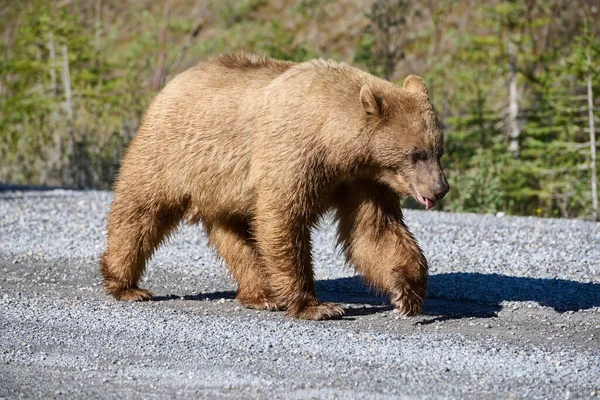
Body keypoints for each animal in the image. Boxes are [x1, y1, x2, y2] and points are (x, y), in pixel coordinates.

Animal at [98, 54, 448, 322]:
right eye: (416, 153)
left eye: (438, 150)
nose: (440, 188)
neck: (336, 143)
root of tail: (171, 83)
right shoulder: (294, 153)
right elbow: (284, 219)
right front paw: (317, 306)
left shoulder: (362, 179)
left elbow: (375, 231)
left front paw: (407, 295)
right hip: (170, 153)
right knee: (140, 210)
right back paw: (126, 285)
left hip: (224, 187)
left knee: (236, 236)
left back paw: (261, 295)